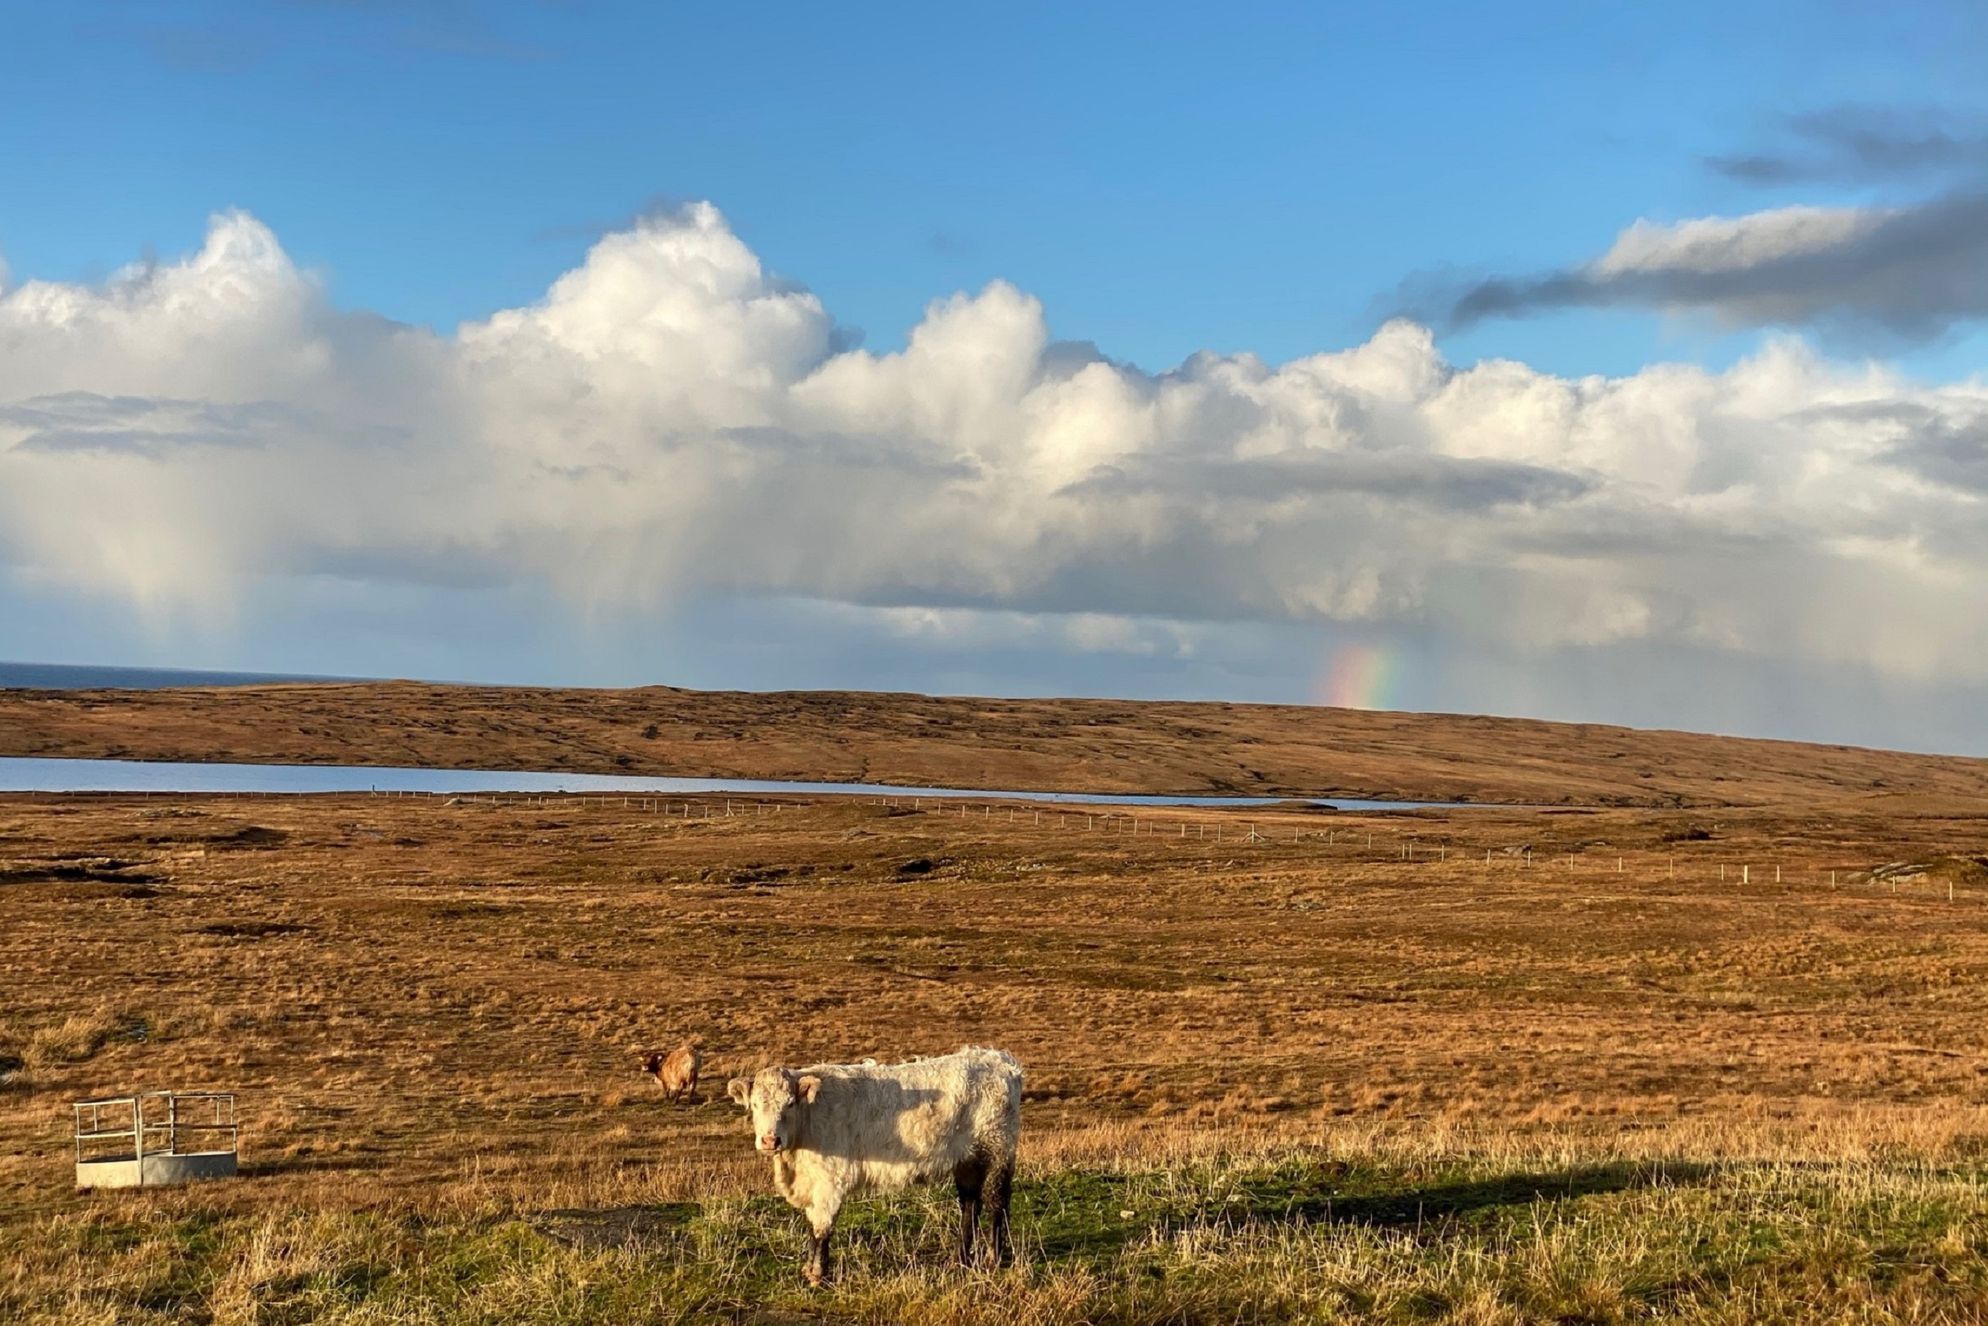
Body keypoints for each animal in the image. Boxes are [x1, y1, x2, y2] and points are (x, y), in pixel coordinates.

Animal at [723, 1049, 1017, 1288]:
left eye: (790, 1103)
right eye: (755, 1105)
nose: (770, 1140)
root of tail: (999, 1059)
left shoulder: (831, 1180)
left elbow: (821, 1228)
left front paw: (818, 1275)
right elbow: (811, 1226)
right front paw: (808, 1270)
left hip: (998, 1149)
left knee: (996, 1202)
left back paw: (994, 1258)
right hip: (967, 1159)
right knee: (970, 1203)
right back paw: (960, 1259)